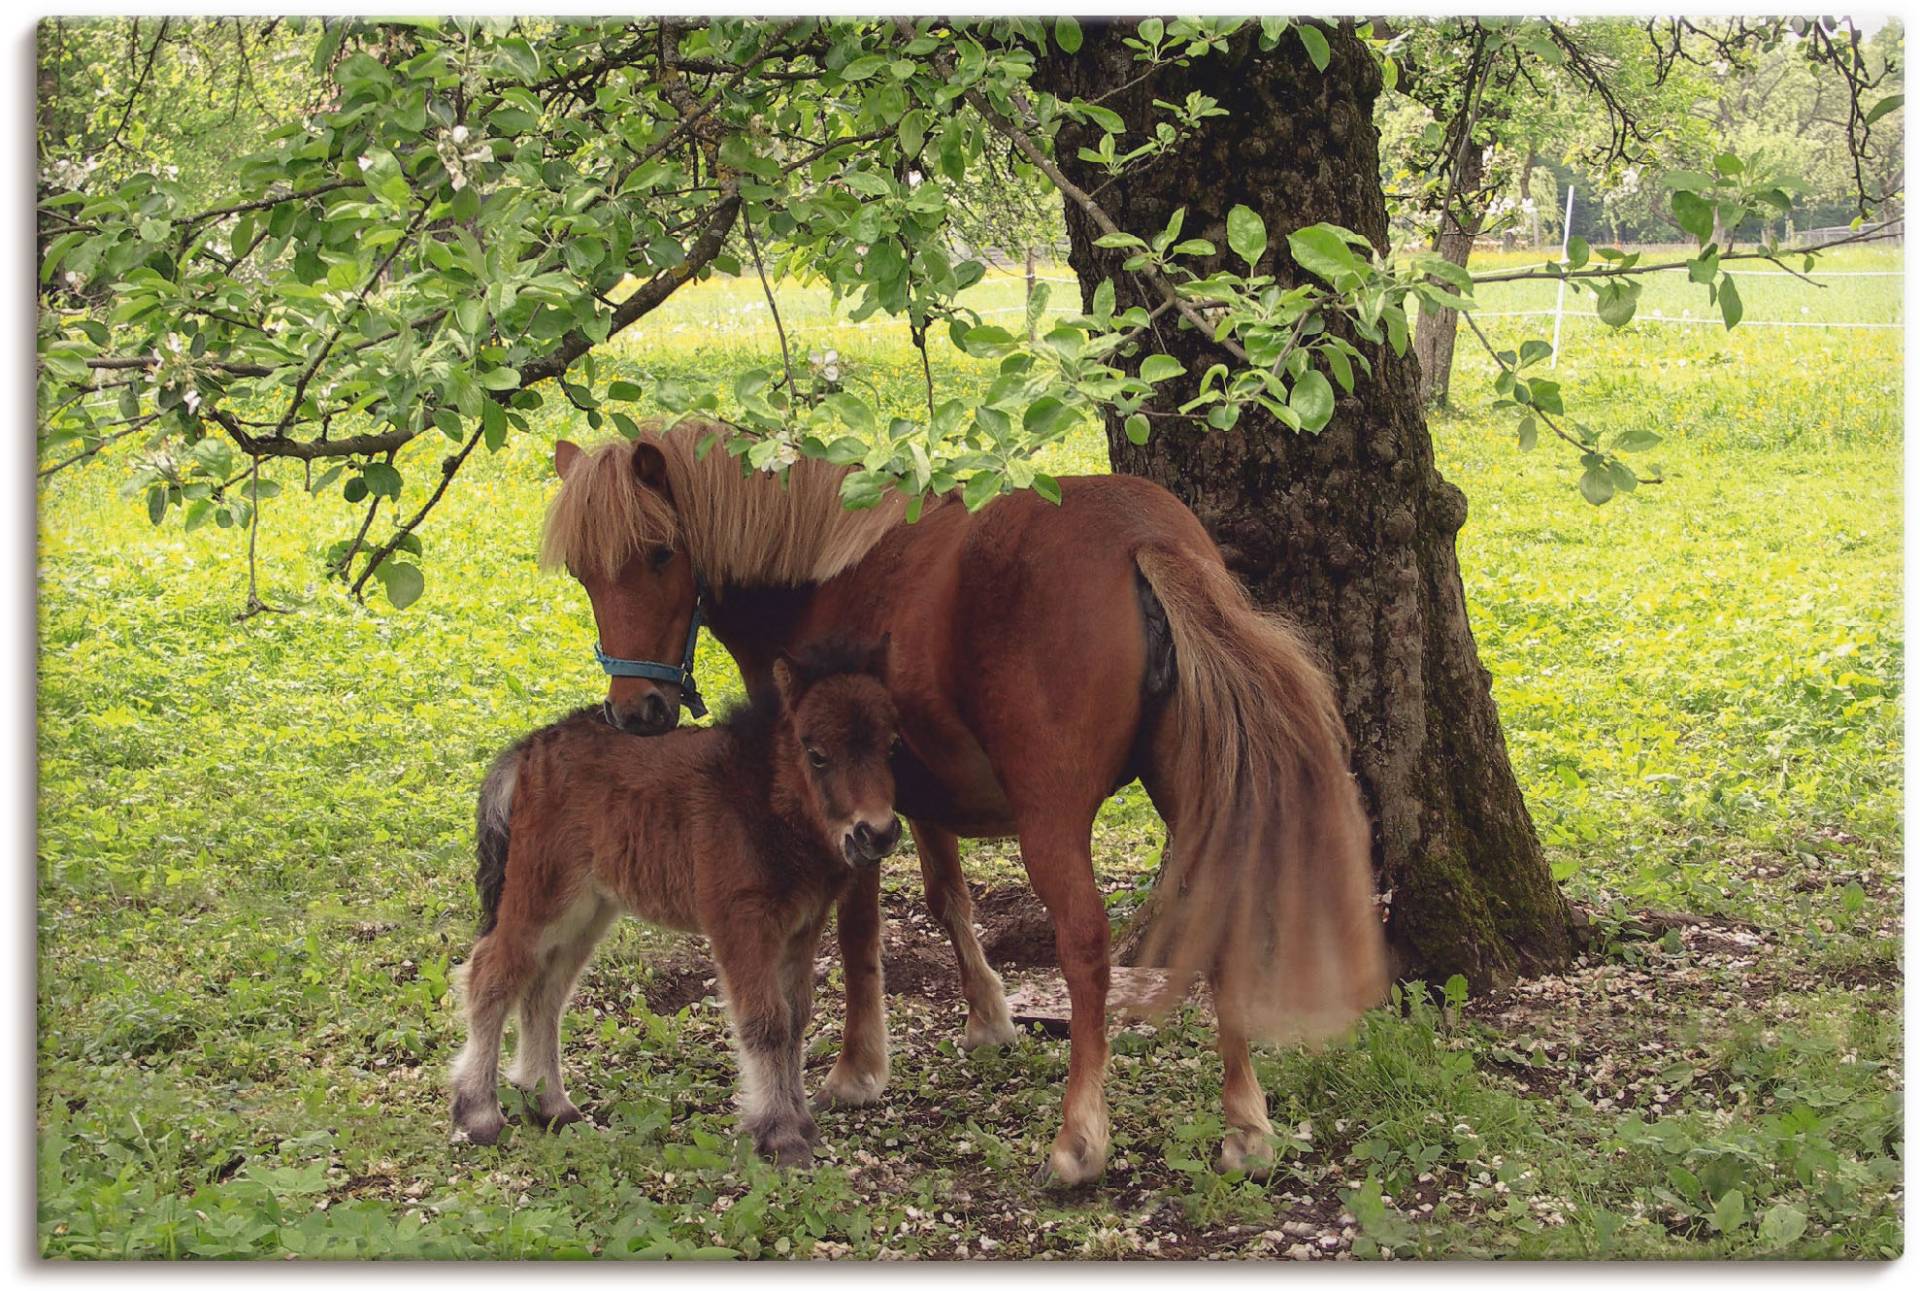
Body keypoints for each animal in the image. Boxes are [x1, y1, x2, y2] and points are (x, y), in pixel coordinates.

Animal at [449, 637, 902, 1166]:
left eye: (891, 746)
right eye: (817, 754)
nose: (876, 833)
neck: (761, 796)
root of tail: (529, 748)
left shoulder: (801, 928)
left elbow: (795, 1020)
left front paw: (802, 1126)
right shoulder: (740, 923)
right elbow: (766, 1021)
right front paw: (779, 1135)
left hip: (588, 910)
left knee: (545, 990)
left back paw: (552, 1105)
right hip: (541, 896)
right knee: (492, 975)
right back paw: (479, 1113)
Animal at [540, 425, 1388, 1186]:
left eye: (659, 553)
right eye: (582, 572)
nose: (637, 711)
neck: (820, 573)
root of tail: (1142, 539)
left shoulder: (847, 813)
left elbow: (858, 932)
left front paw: (857, 1066)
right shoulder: (916, 799)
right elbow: (948, 897)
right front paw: (987, 1015)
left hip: (1053, 822)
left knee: (1085, 949)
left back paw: (1080, 1139)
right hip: (1193, 796)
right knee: (1221, 918)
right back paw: (1246, 1125)